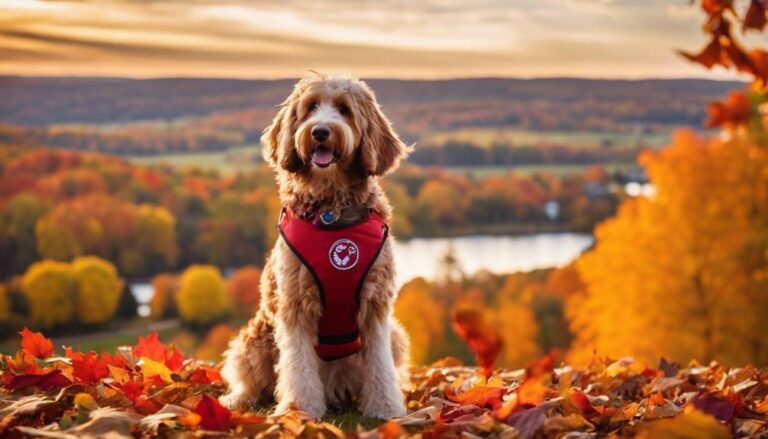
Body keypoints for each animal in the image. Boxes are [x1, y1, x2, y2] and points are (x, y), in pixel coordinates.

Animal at [220, 72, 412, 420]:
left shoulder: (376, 305)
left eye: (344, 110)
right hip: (252, 340)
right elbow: (298, 366)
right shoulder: (295, 303)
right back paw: (237, 399)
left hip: (396, 335)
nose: (320, 131)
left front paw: (385, 408)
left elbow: (380, 365)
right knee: (250, 379)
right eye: (310, 108)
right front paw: (299, 411)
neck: (331, 208)